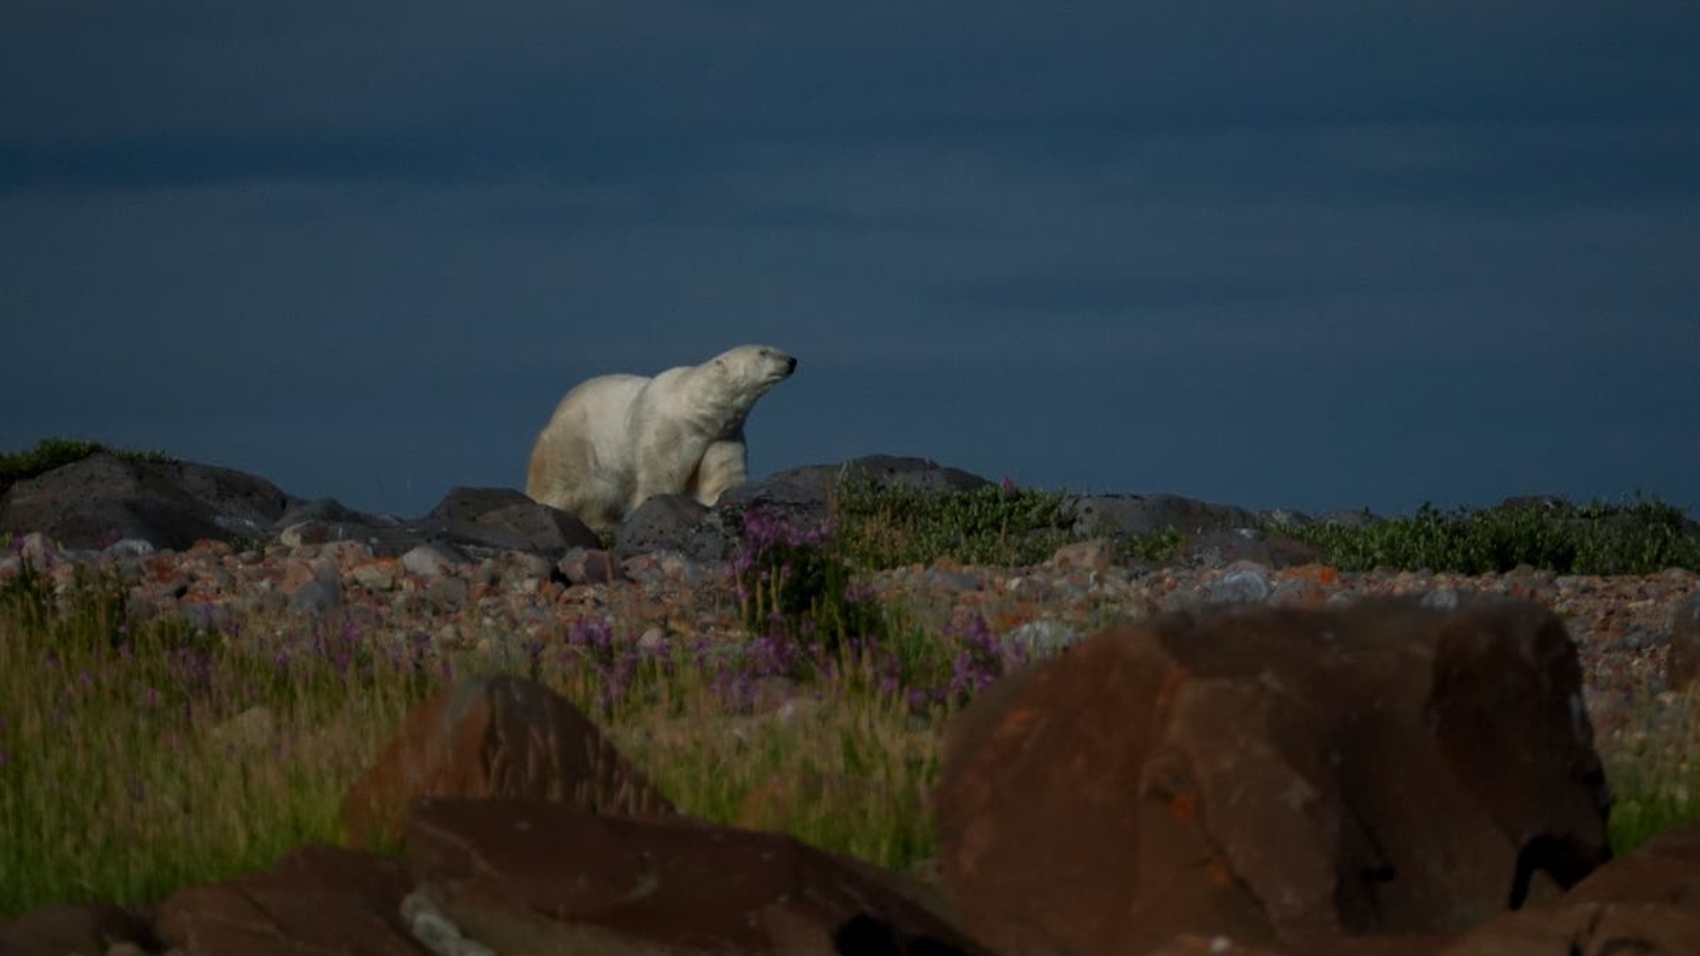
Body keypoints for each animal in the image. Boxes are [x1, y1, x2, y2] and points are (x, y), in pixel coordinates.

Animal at [523, 341, 795, 527]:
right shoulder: (666, 431)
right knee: (563, 484)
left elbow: (721, 477)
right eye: (763, 352)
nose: (792, 360)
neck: (696, 411)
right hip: (573, 442)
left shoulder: (722, 435)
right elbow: (661, 474)